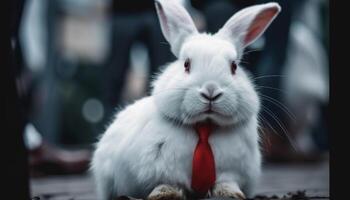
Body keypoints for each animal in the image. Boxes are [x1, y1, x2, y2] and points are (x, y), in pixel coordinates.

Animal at [91, 0, 282, 199]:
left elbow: (226, 181)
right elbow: (167, 182)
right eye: (186, 64)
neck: (204, 126)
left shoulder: (232, 171)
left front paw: (230, 193)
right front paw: (165, 194)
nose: (211, 90)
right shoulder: (162, 168)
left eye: (234, 67)